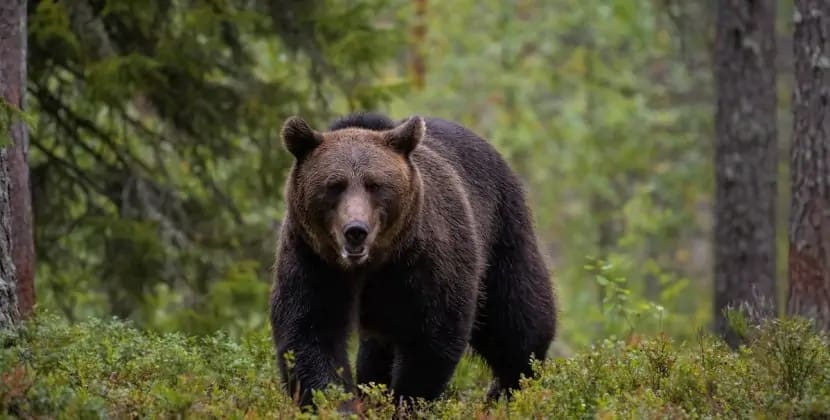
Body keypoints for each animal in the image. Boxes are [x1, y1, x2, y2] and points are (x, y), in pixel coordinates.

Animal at [272, 113, 560, 408]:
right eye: (334, 186)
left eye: (374, 185)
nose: (355, 230)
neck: (372, 264)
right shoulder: (313, 260)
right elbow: (310, 332)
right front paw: (337, 403)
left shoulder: (424, 260)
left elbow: (432, 336)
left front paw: (407, 400)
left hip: (502, 234)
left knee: (517, 320)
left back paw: (511, 389)